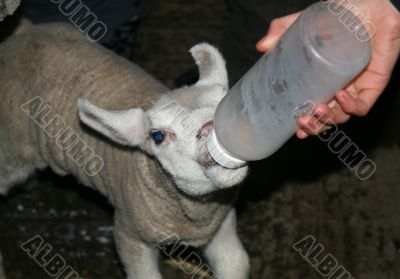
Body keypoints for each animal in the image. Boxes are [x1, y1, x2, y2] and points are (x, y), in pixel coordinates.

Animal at [0, 20, 250, 278]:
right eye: (157, 136)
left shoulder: (221, 223)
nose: (211, 126)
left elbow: (236, 263)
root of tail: (25, 30)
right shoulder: (130, 235)